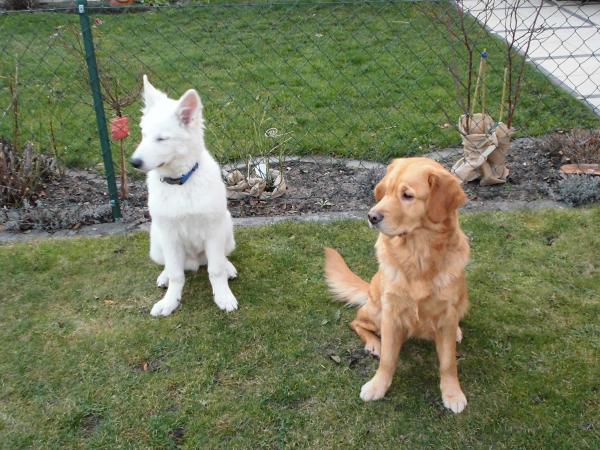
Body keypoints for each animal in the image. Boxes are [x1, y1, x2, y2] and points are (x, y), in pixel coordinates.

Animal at [130, 75, 238, 317]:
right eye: (143, 135)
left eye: (162, 139)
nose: (134, 162)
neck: (180, 182)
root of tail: (194, 261)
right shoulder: (169, 235)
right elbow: (176, 275)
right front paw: (170, 301)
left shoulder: (213, 231)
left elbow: (215, 270)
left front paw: (223, 296)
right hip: (157, 241)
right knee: (171, 267)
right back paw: (164, 277)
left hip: (226, 229)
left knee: (219, 259)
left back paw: (228, 267)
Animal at [324, 157, 470, 413]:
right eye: (385, 192)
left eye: (407, 195)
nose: (371, 216)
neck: (418, 255)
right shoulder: (391, 313)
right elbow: (388, 359)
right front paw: (377, 386)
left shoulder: (447, 313)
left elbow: (448, 362)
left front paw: (452, 393)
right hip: (377, 310)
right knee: (357, 322)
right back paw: (374, 344)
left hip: (463, 300)